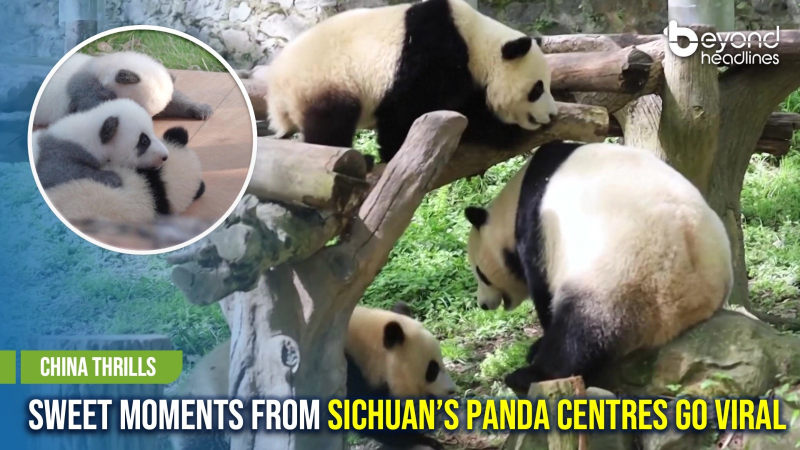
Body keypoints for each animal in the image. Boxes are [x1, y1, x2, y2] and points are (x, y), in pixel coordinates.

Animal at [265, 0, 557, 161]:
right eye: (537, 88)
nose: (553, 114)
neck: (476, 42)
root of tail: (275, 89)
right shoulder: (433, 53)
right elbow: (416, 107)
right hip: (325, 80)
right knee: (330, 124)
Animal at [464, 141, 733, 393]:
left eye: (480, 273)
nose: (483, 304)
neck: (514, 200)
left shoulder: (536, 228)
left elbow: (542, 289)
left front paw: (536, 345)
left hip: (620, 276)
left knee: (580, 332)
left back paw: (529, 375)